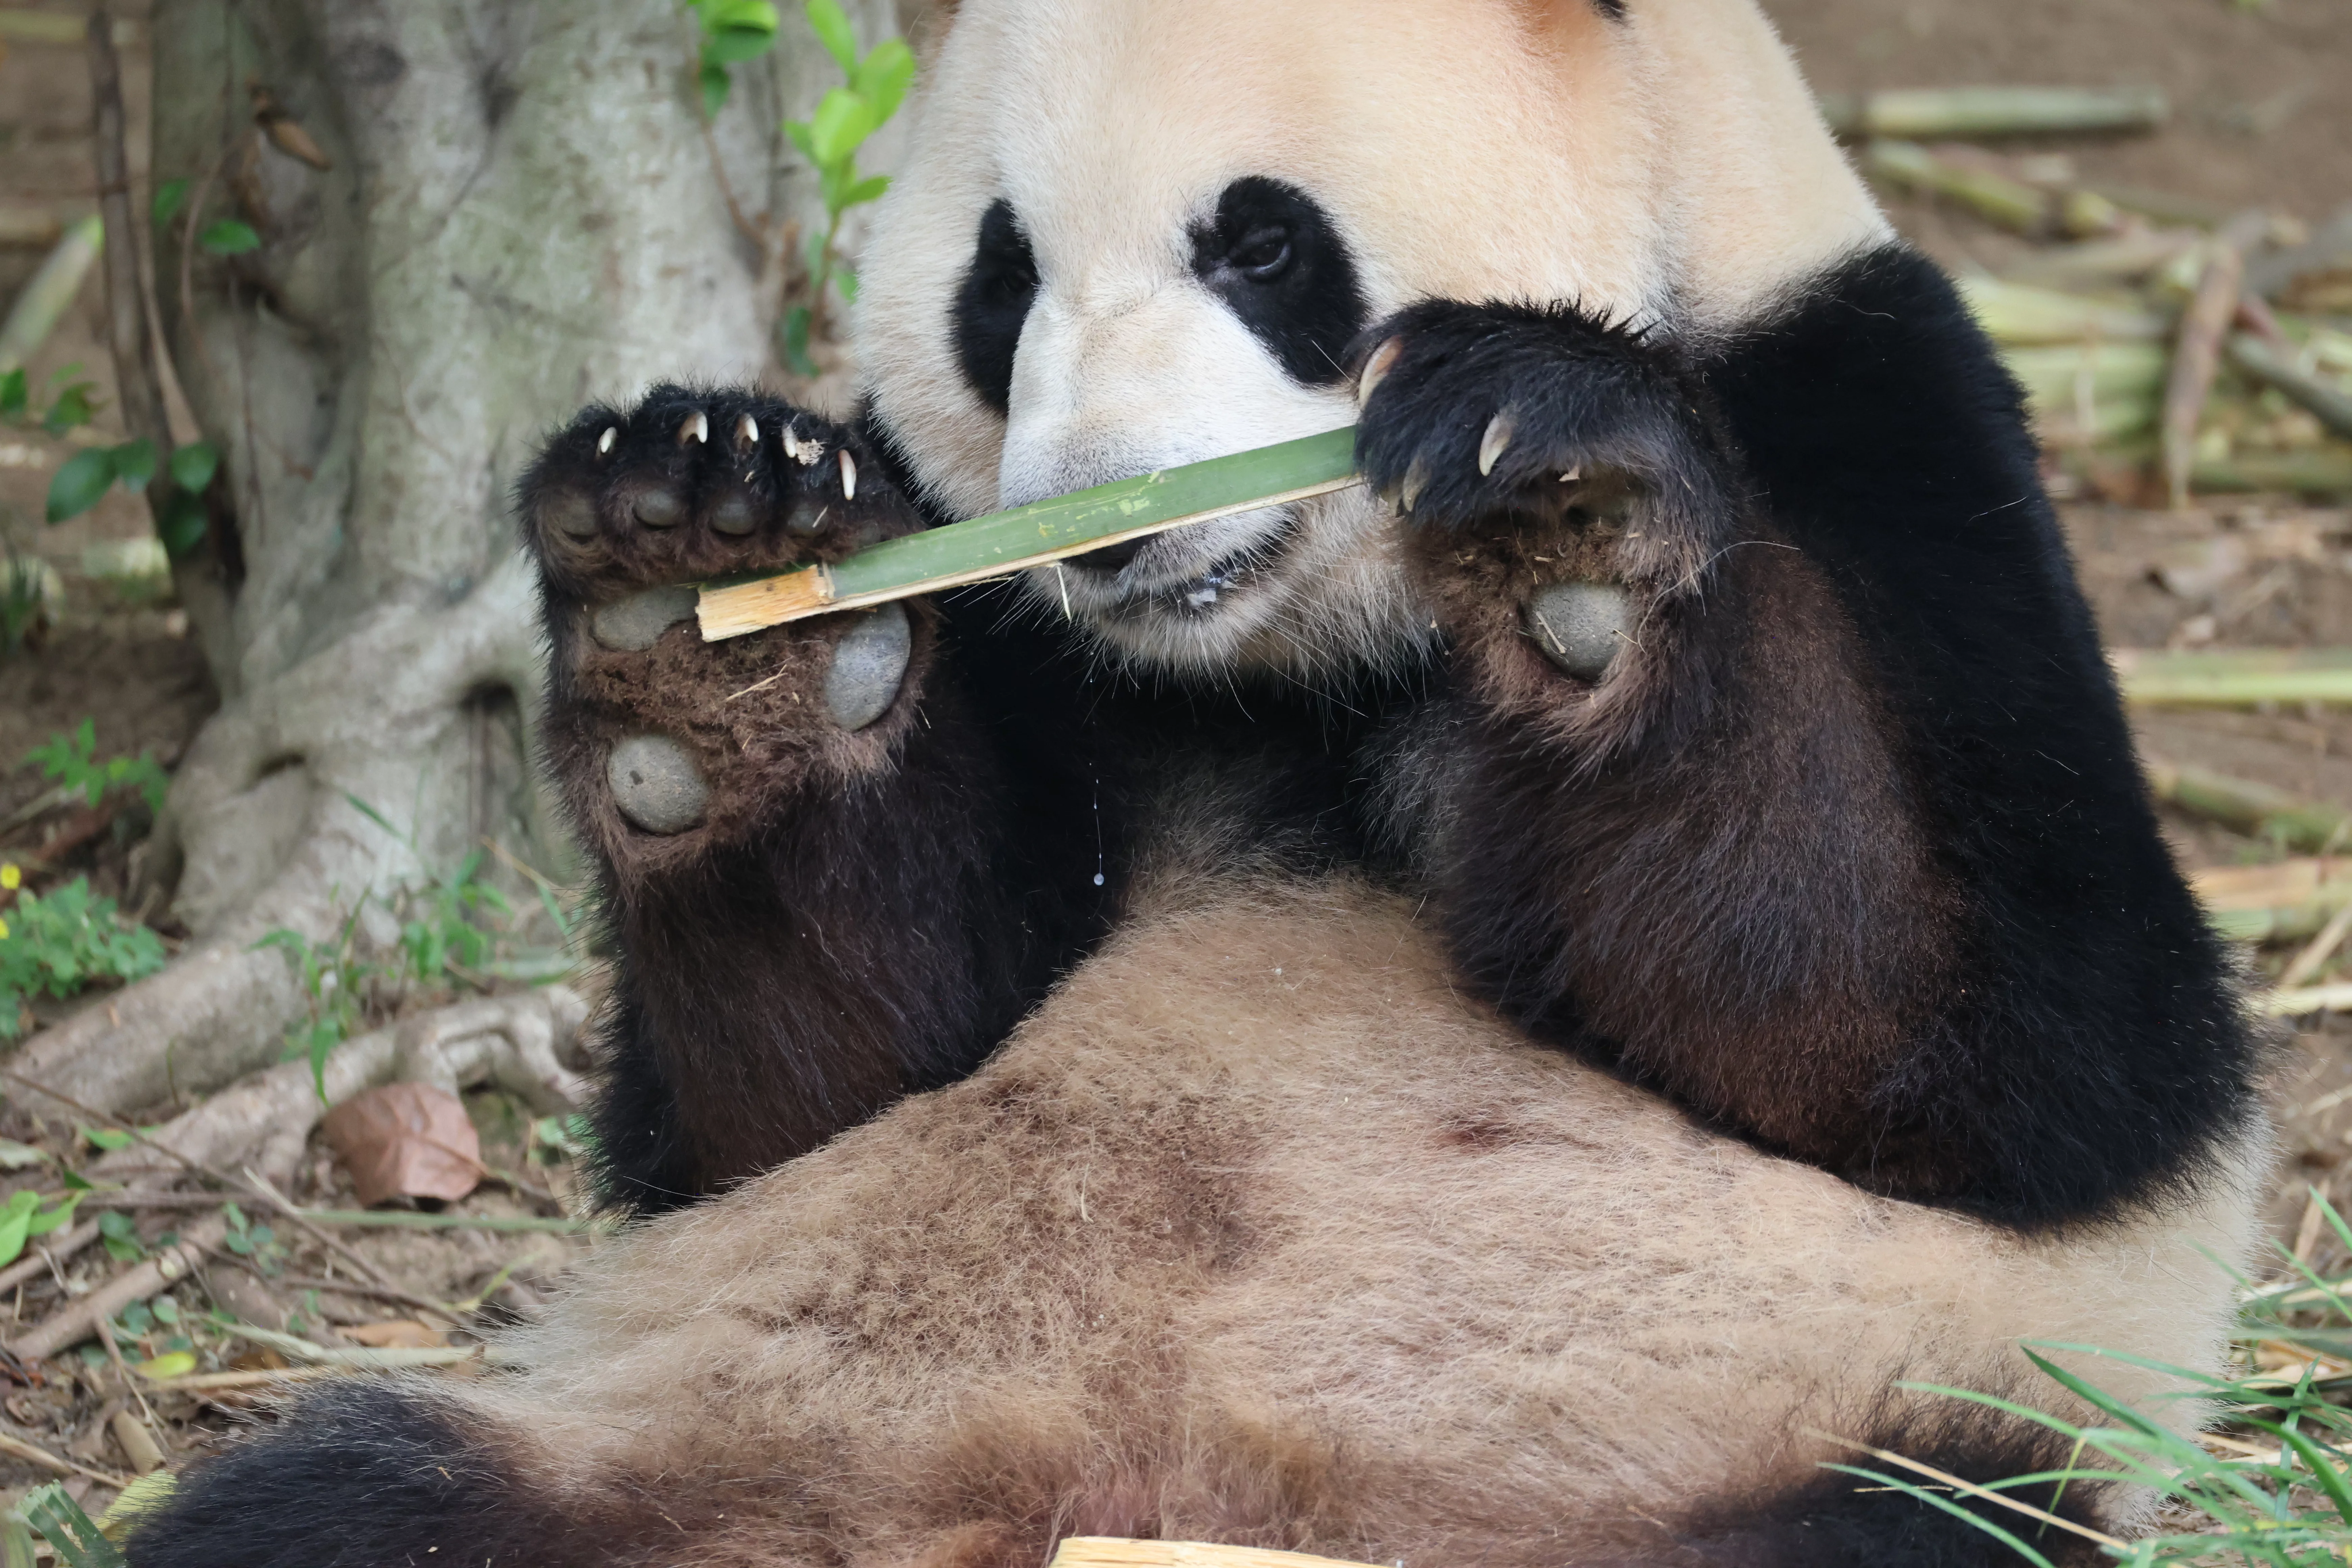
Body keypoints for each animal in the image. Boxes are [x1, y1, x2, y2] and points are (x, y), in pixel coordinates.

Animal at [128, 0, 2269, 1564]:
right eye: (1000, 279)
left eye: (1260, 241)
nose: (1108, 522)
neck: (1283, 665)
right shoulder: (1010, 633)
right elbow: (800, 1086)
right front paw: (710, 589)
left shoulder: (1882, 415)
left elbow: (1995, 1046)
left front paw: (1567, 510)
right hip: (698, 1439)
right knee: (339, 1506)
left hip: (1793, 1442)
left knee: (1906, 1521)